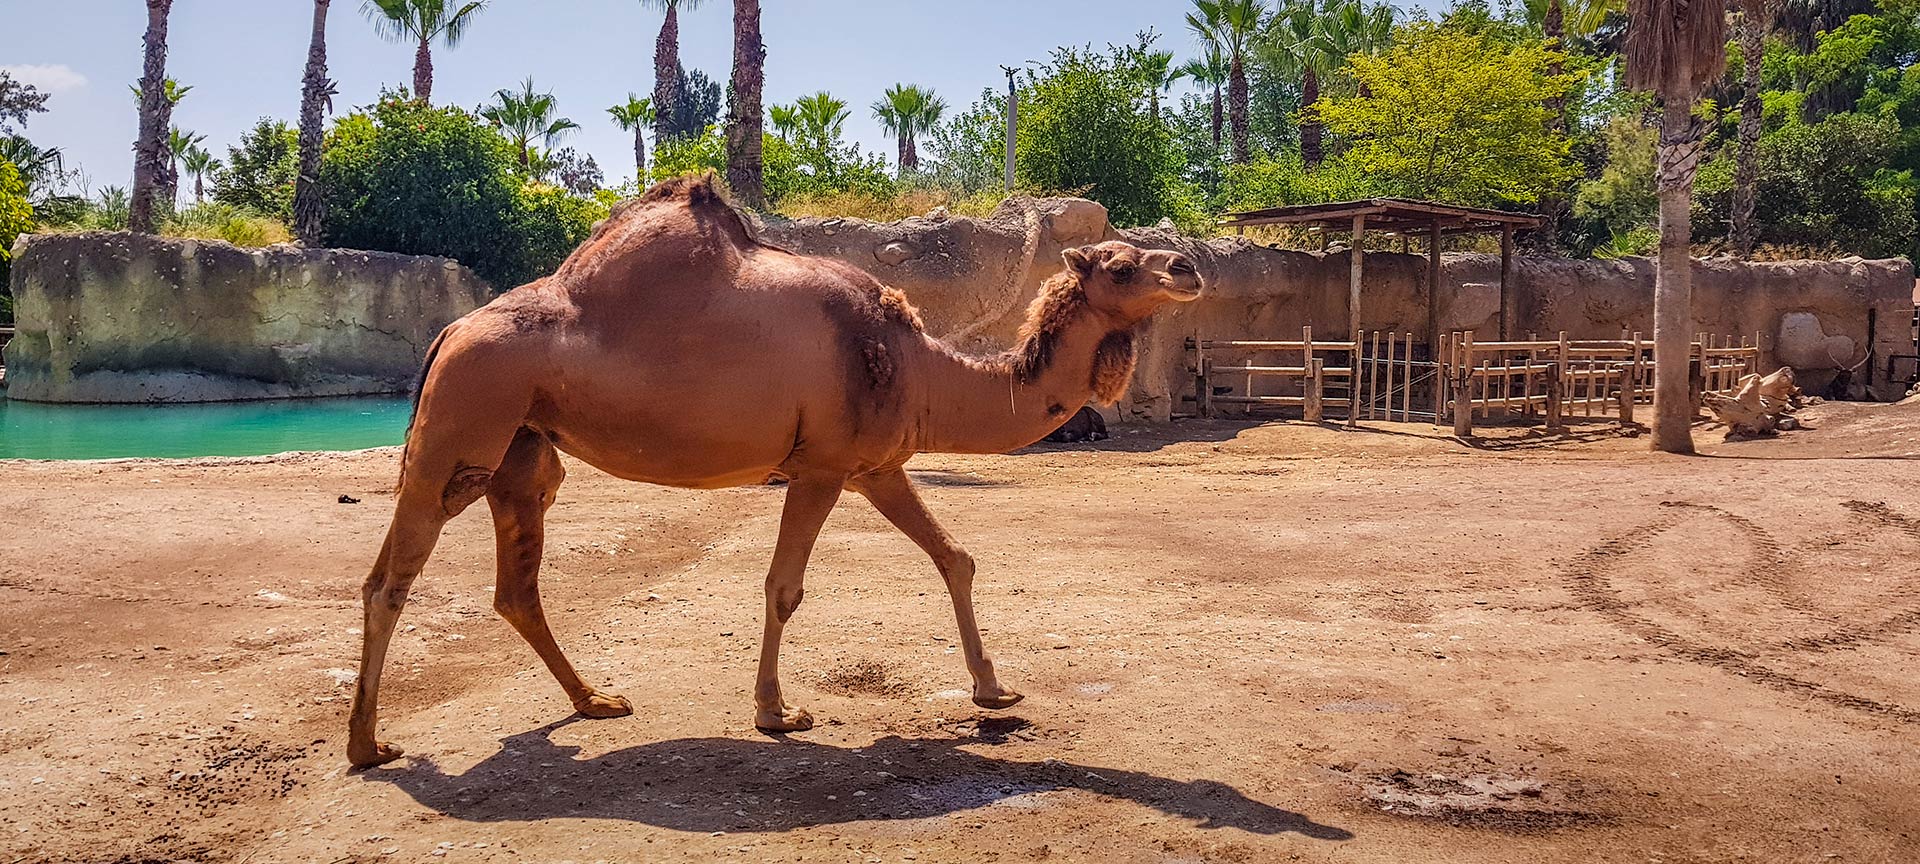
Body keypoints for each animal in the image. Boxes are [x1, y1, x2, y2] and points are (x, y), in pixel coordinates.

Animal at [345, 175, 1198, 768]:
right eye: (1120, 264)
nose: (1188, 267)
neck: (918, 367)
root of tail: (450, 328)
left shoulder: (877, 466)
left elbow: (956, 557)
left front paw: (994, 690)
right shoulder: (820, 466)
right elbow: (783, 587)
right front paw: (775, 713)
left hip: (523, 447)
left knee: (515, 586)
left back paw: (594, 701)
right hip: (464, 421)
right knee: (389, 581)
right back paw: (368, 746)